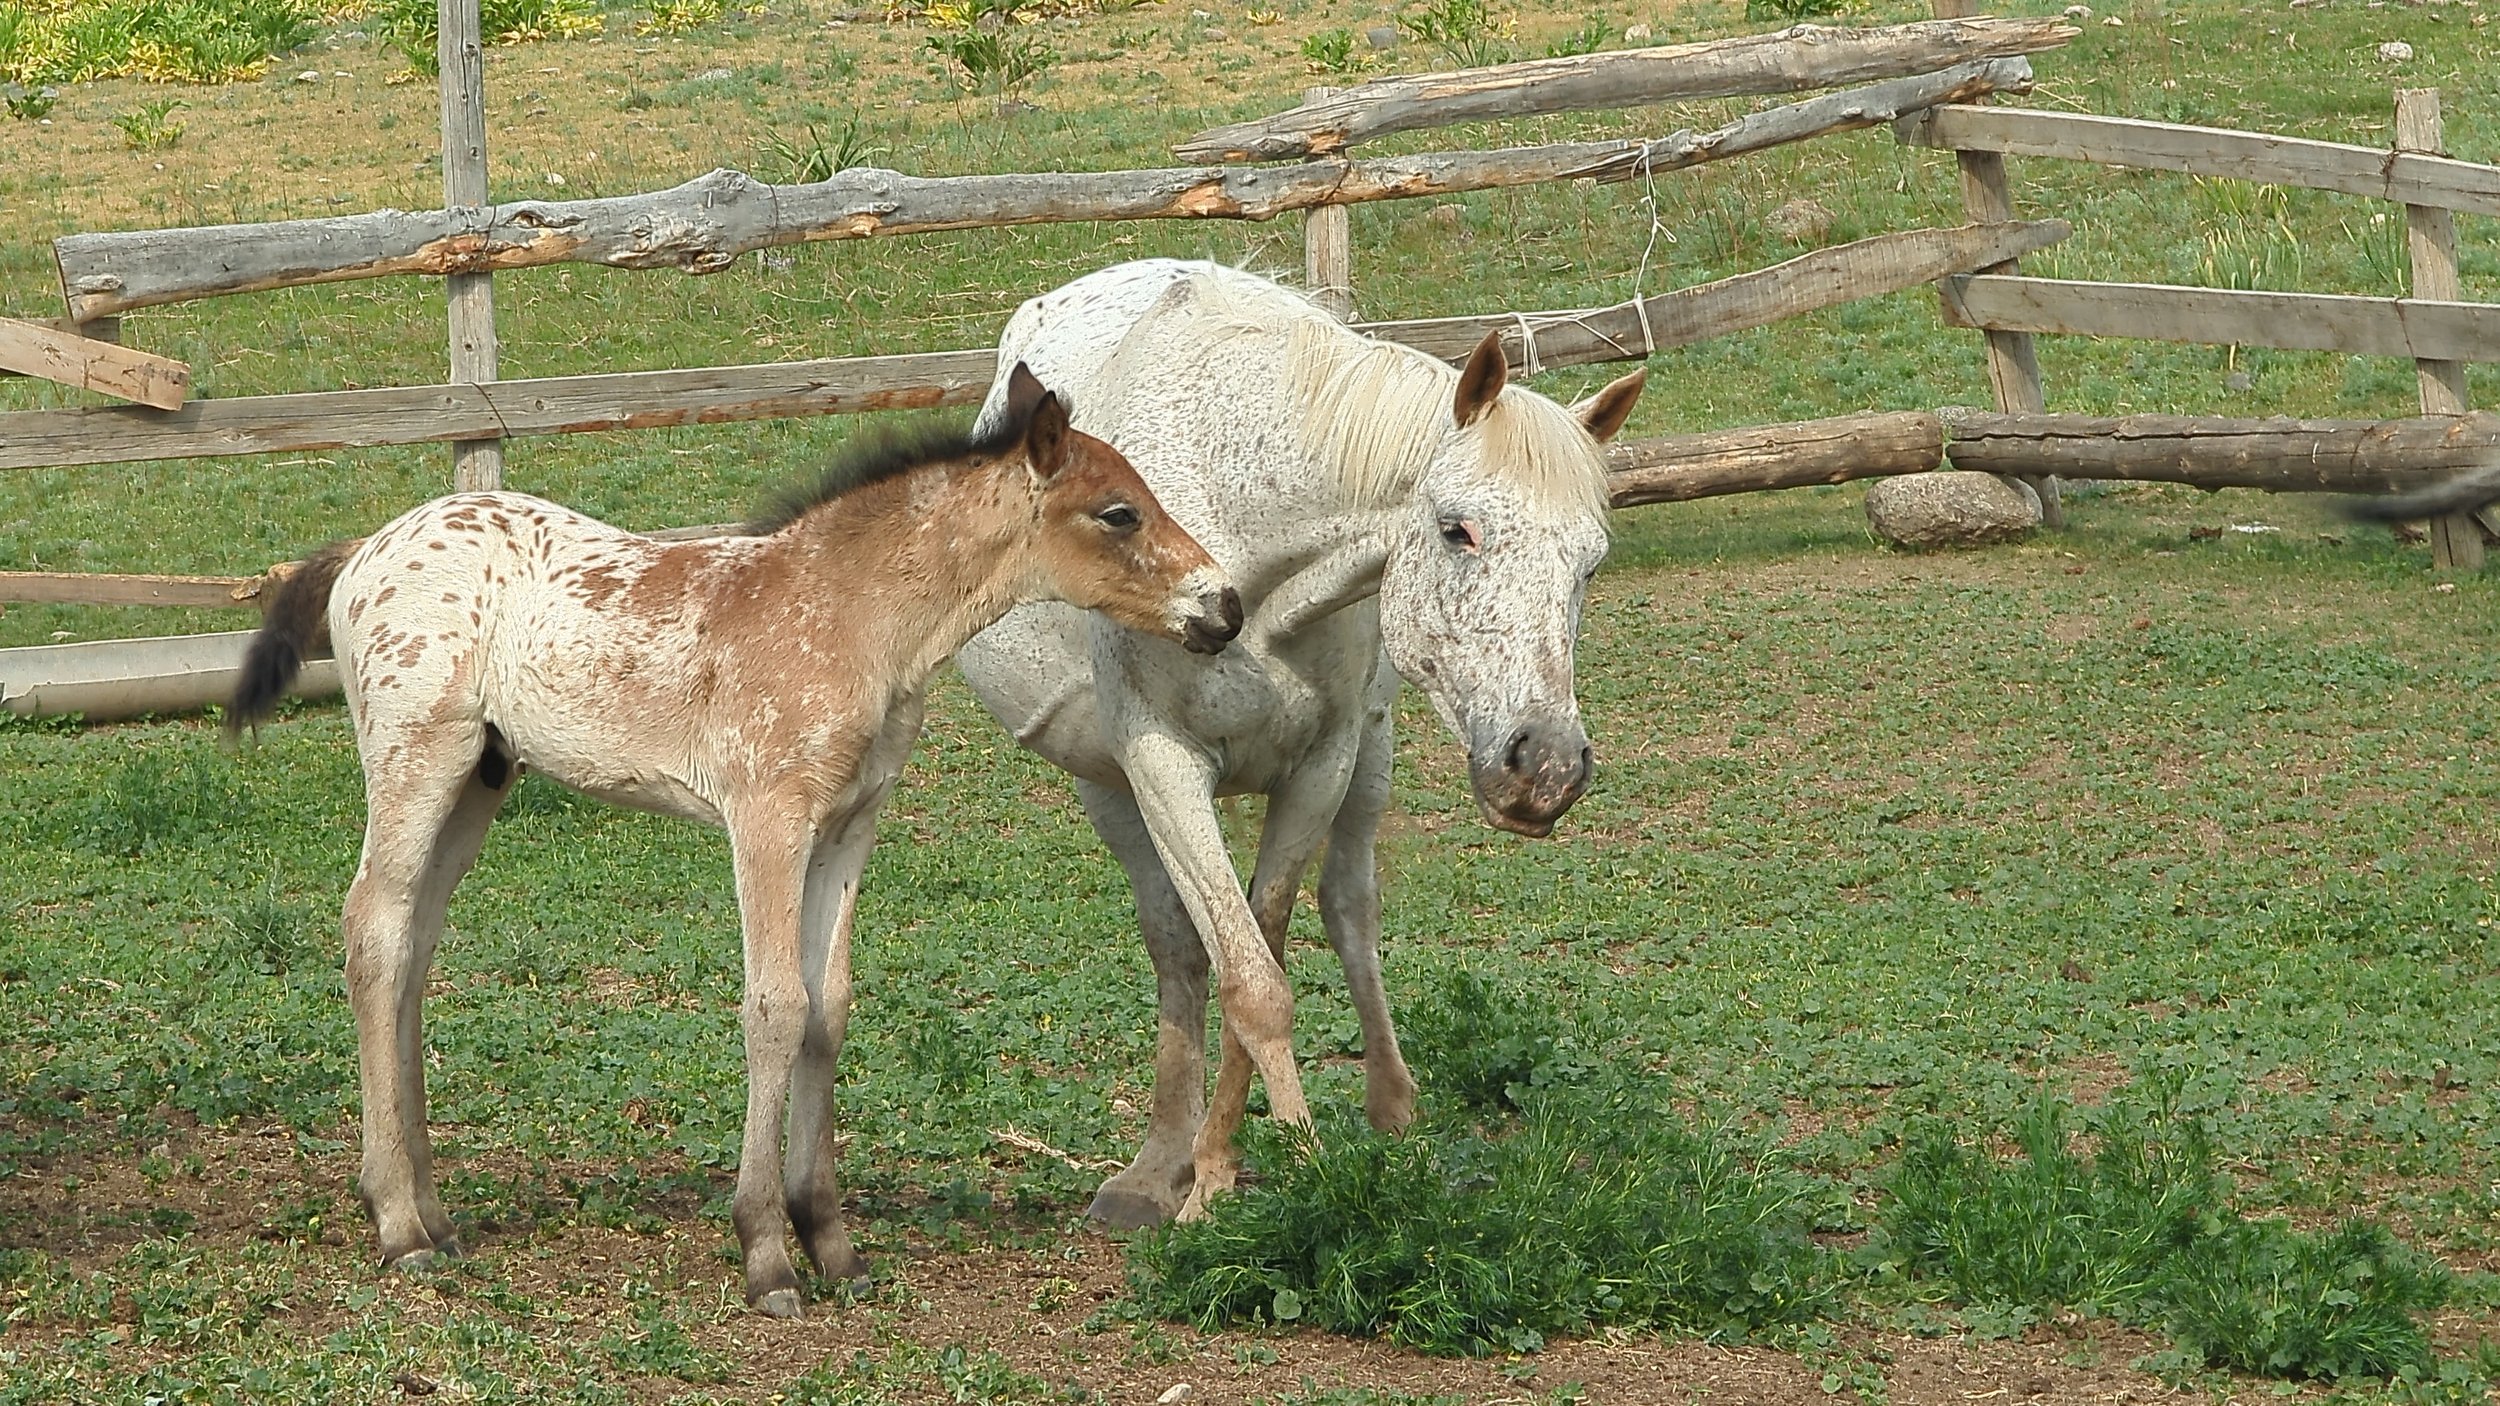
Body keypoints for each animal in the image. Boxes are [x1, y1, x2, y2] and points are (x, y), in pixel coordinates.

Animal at [228, 365, 1241, 1317]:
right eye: (1119, 512)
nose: (1224, 607)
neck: (849, 617)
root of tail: (363, 551)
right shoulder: (768, 819)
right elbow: (774, 1008)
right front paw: (765, 1253)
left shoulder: (849, 825)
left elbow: (829, 1007)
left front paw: (829, 1239)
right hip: (416, 757)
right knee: (374, 930)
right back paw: (397, 1223)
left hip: (480, 777)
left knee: (413, 946)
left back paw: (432, 1212)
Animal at [955, 260, 1643, 1224]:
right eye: (1456, 529)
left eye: (1591, 563)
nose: (1546, 765)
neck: (1243, 541)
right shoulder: (1163, 766)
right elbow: (1245, 976)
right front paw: (1223, 1176)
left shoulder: (1323, 765)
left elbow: (1273, 951)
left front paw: (1235, 1163)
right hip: (1108, 786)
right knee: (1177, 946)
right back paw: (1152, 1169)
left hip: (1372, 758)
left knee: (1350, 911)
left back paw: (1390, 1110)